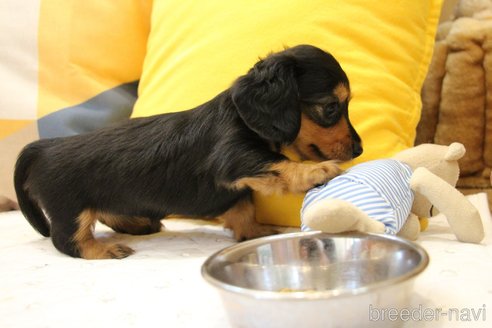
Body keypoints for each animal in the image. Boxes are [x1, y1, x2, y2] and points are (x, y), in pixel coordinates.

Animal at [14, 44, 362, 258]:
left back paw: (136, 225)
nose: (360, 149)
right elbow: (279, 164)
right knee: (67, 240)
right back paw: (101, 250)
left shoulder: (235, 189)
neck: (240, 115)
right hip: (69, 208)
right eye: (331, 108)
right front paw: (316, 171)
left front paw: (255, 231)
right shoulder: (234, 156)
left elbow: (243, 208)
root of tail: (45, 146)